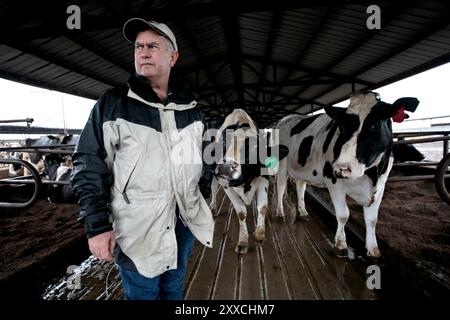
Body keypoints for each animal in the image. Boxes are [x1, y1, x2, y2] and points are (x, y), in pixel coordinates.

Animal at [210, 109, 288, 254]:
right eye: (223, 142)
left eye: (254, 148)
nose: (226, 167)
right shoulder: (226, 184)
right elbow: (241, 212)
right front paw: (242, 241)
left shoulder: (263, 177)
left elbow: (262, 207)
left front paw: (259, 235)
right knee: (212, 188)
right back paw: (213, 206)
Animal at [276, 92, 420, 258]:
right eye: (341, 126)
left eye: (374, 124)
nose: (341, 168)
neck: (371, 175)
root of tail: (287, 118)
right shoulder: (333, 181)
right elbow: (343, 214)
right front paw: (341, 244)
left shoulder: (381, 185)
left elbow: (372, 219)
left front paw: (373, 250)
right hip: (281, 165)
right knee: (280, 188)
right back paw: (280, 213)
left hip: (302, 169)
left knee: (300, 187)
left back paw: (303, 212)